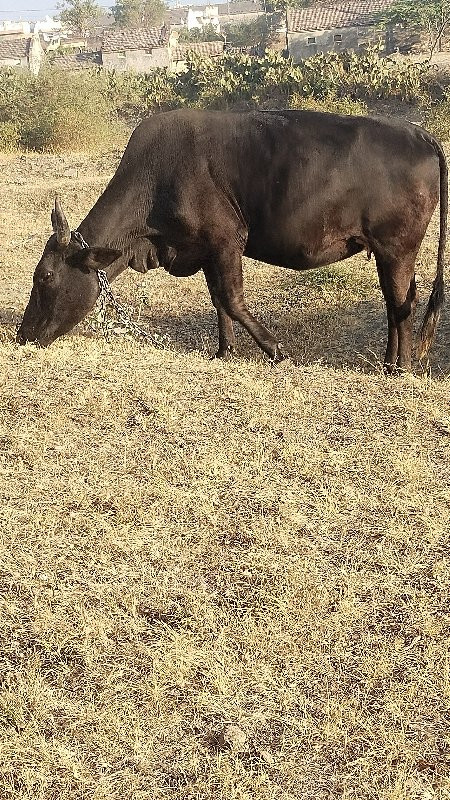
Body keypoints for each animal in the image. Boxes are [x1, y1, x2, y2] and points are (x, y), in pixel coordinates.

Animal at [17, 109, 446, 372]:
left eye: (45, 277)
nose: (23, 336)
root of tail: (419, 133)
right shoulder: (205, 248)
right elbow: (219, 302)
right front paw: (224, 352)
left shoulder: (226, 241)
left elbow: (233, 300)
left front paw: (275, 350)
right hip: (389, 253)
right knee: (394, 303)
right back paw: (389, 362)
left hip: (397, 248)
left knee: (402, 304)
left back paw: (402, 367)